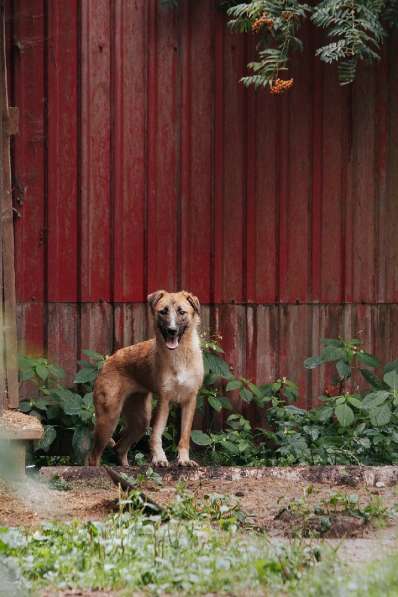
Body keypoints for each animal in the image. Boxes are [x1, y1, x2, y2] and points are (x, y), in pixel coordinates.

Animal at [88, 288, 204, 466]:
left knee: (120, 447)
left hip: (140, 420)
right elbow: (157, 433)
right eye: (163, 312)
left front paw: (184, 460)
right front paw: (159, 458)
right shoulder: (164, 400)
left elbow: (184, 436)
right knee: (93, 457)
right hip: (108, 418)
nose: (172, 330)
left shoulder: (189, 400)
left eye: (181, 312)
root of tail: (108, 360)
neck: (180, 356)